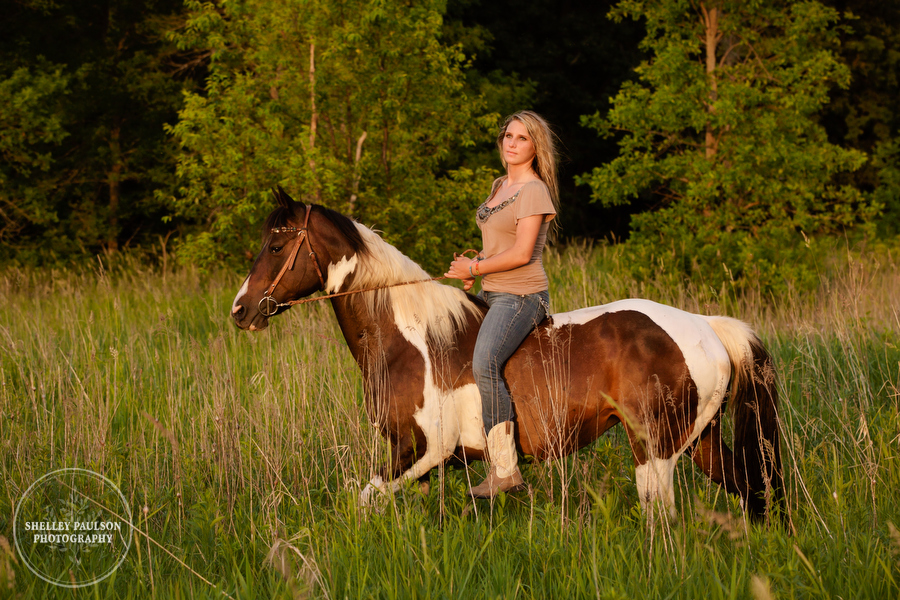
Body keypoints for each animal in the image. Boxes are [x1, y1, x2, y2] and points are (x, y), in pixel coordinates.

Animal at [230, 190, 780, 524]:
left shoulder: (420, 451)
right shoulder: (426, 467)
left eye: (276, 247)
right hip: (700, 440)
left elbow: (364, 499)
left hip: (656, 448)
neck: (408, 340)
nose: (240, 310)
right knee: (750, 488)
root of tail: (705, 327)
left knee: (662, 513)